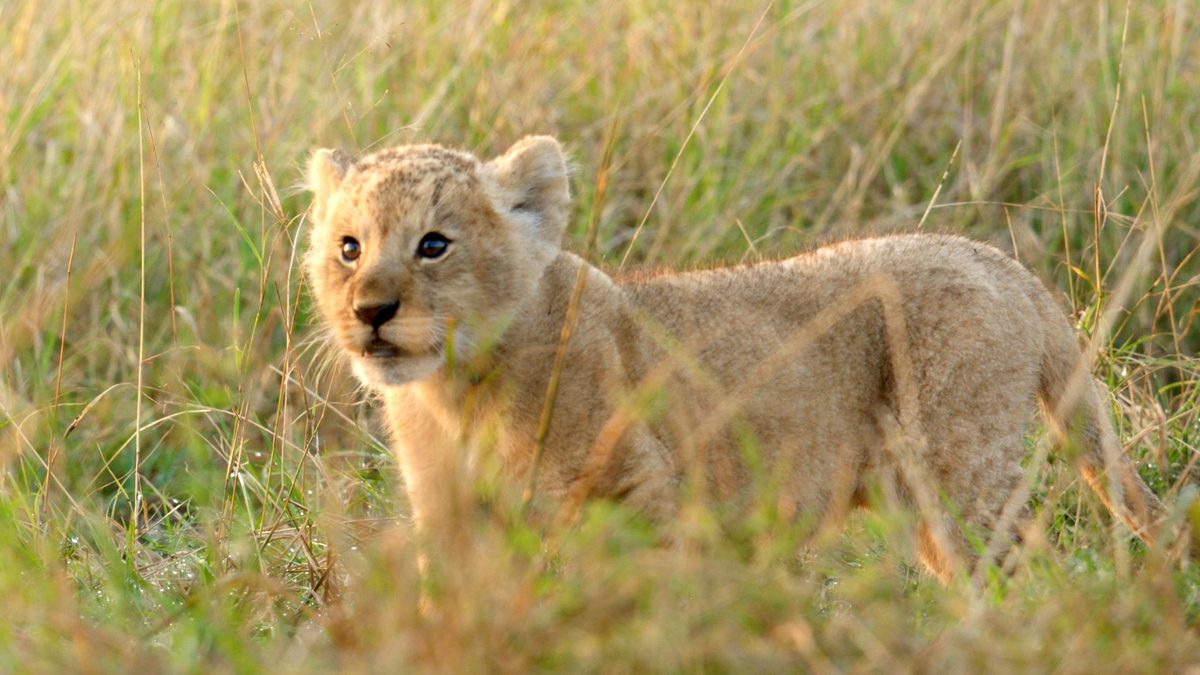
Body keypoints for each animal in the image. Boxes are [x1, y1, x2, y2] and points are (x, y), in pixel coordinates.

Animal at [304, 135, 1162, 582]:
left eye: (434, 244)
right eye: (349, 248)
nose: (370, 312)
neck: (456, 393)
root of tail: (1000, 261)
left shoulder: (640, 493)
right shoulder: (448, 517)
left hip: (958, 477)